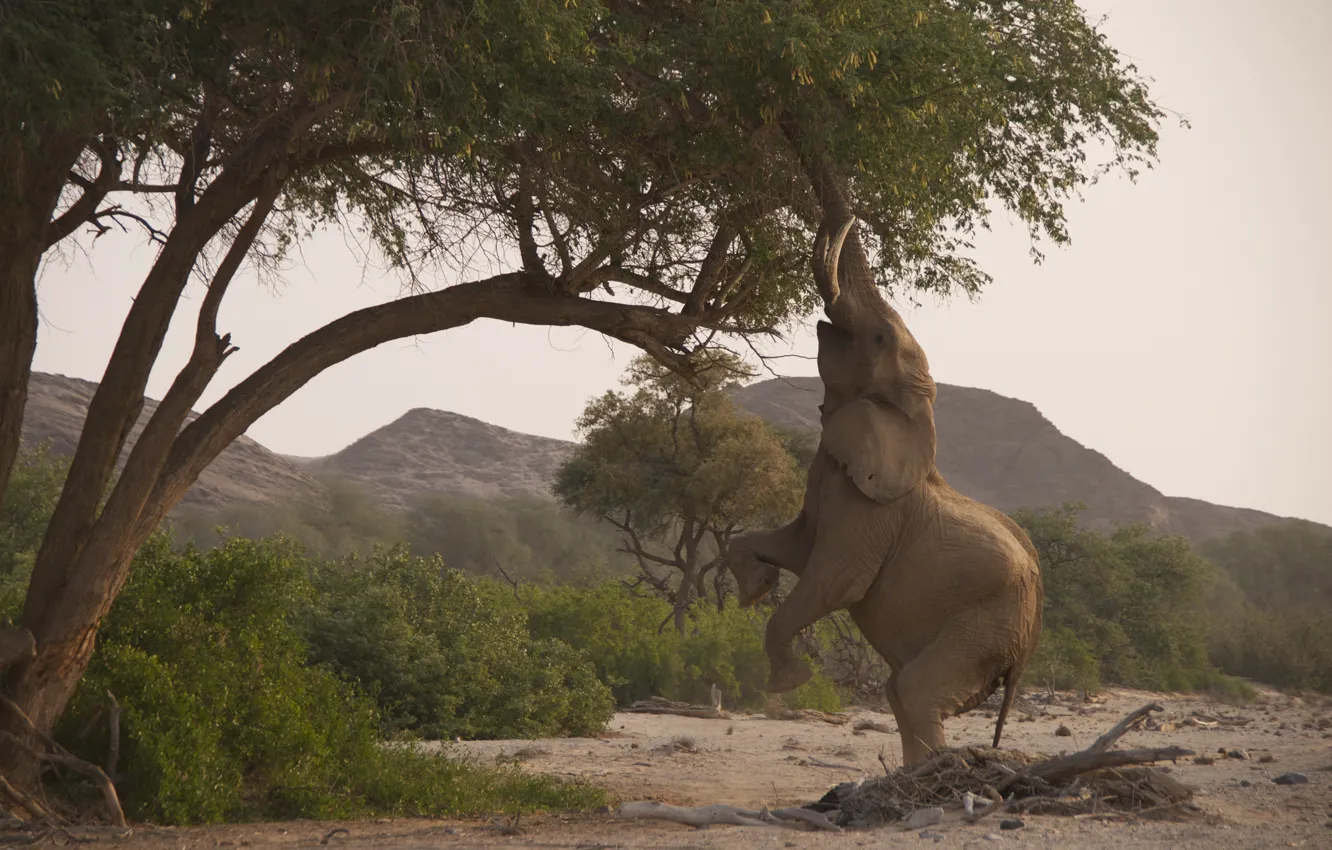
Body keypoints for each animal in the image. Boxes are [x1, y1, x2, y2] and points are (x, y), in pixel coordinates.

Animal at [724, 207, 1044, 772]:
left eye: (877, 340)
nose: (846, 215)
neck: (912, 414)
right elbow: (794, 548)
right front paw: (757, 585)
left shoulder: (871, 512)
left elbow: (835, 581)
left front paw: (790, 681)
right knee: (900, 691)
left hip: (994, 622)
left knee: (914, 689)